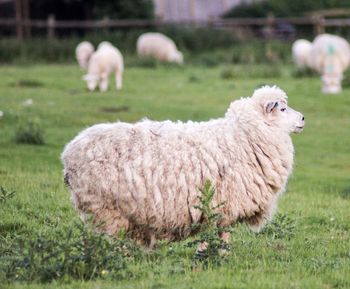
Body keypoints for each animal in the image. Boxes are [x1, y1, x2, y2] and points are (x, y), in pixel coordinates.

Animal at [62, 84, 304, 244]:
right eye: (282, 109)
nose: (303, 118)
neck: (242, 137)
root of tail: (69, 154)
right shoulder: (224, 207)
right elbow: (221, 239)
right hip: (106, 209)